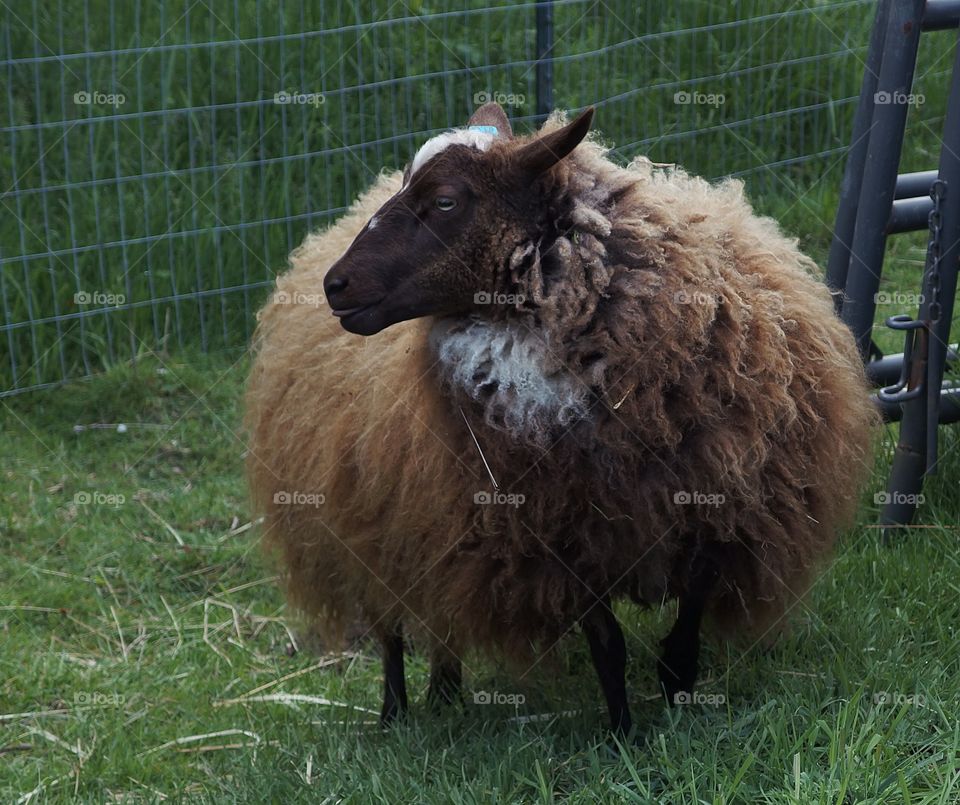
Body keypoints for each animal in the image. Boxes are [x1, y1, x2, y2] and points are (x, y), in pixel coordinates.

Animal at [245, 102, 878, 734]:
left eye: (446, 200)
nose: (336, 286)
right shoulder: (557, 539)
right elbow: (608, 644)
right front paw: (625, 736)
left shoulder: (717, 502)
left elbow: (688, 618)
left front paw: (678, 693)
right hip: (369, 524)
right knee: (391, 629)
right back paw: (395, 713)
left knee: (442, 617)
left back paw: (445, 694)